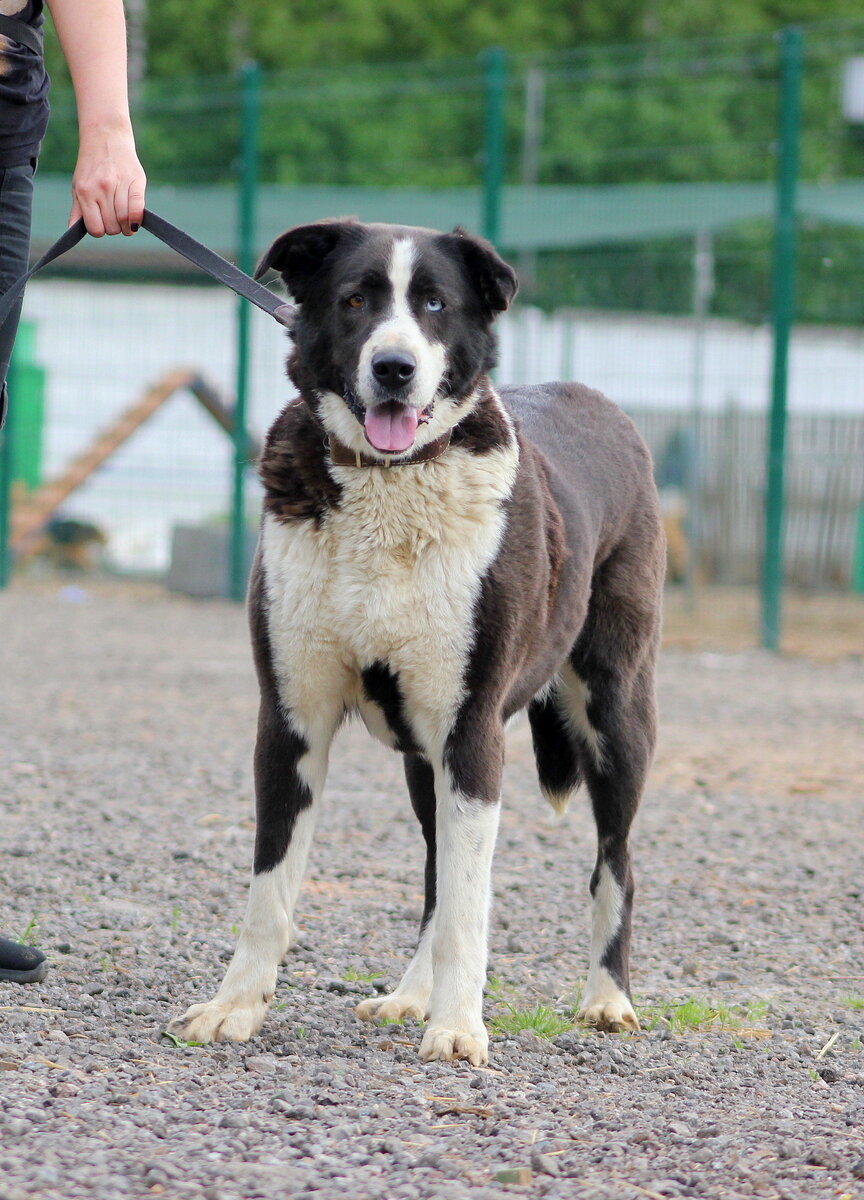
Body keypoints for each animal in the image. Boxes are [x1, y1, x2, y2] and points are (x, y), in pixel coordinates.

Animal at [170, 220, 667, 1065]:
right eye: (355, 300)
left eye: (436, 303)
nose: (394, 369)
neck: (389, 483)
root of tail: (599, 400)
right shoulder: (291, 721)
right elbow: (272, 889)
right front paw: (235, 1007)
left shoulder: (472, 731)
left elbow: (471, 904)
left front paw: (460, 1028)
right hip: (422, 756)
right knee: (437, 875)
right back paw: (410, 993)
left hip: (614, 713)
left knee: (615, 864)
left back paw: (607, 999)